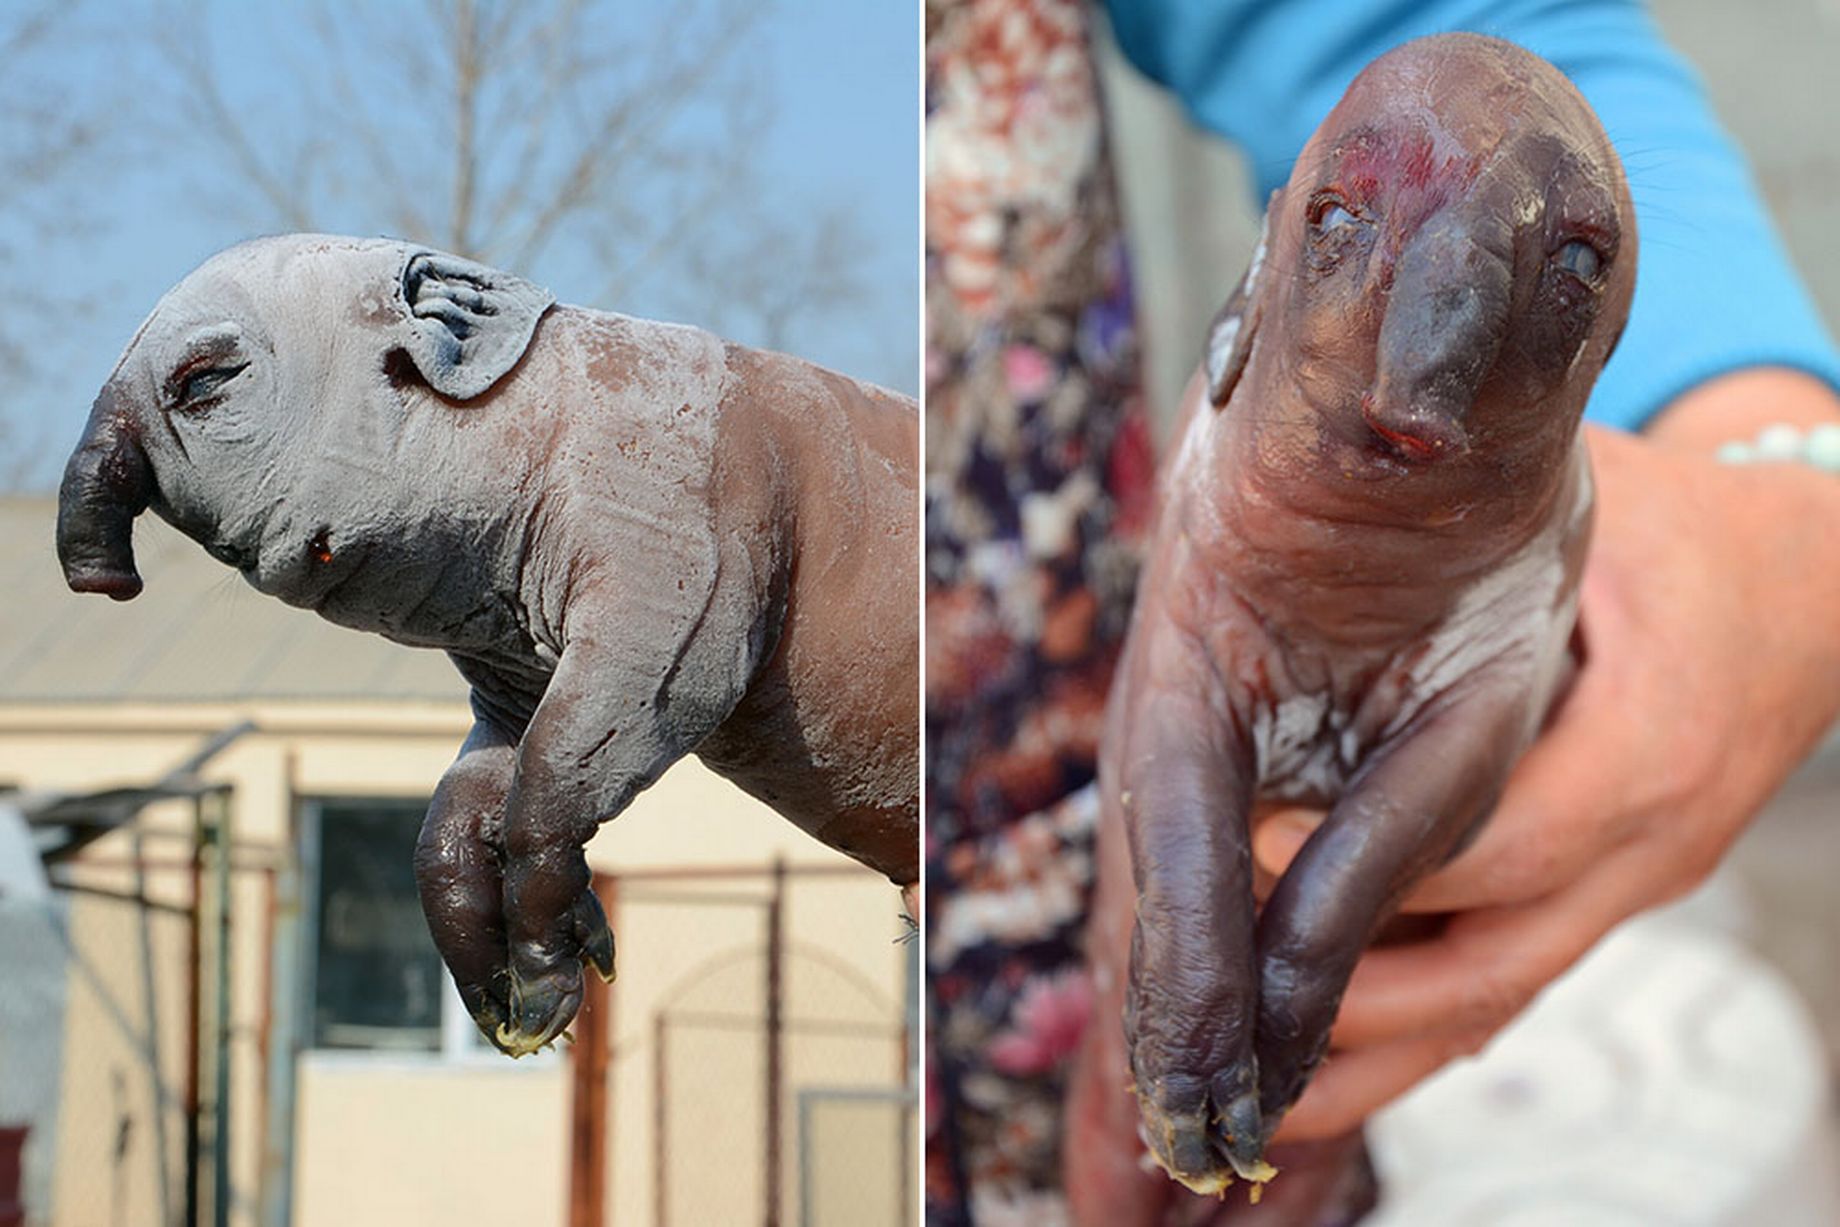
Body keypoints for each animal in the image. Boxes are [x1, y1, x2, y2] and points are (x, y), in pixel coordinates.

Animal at [57, 234, 918, 1055]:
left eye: (205, 379)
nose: (104, 577)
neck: (545, 437)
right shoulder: (514, 681)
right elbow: (456, 819)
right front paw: (510, 984)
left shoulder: (673, 604)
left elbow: (553, 782)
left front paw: (544, 989)